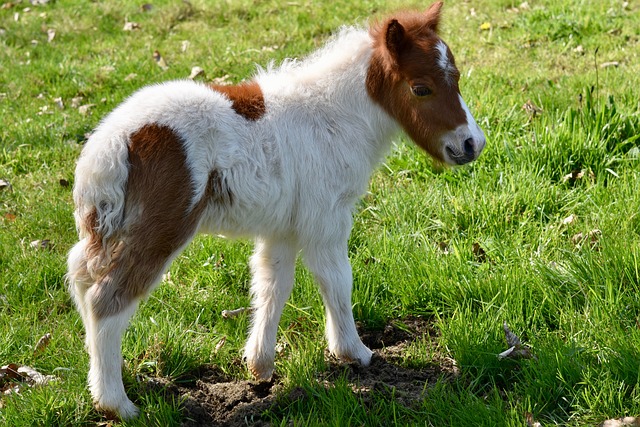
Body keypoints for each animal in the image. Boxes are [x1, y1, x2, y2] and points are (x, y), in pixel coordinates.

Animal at [66, 1, 484, 420]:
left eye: (457, 78)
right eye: (420, 88)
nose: (472, 144)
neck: (334, 116)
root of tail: (111, 146)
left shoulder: (282, 227)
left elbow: (273, 284)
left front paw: (260, 366)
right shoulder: (326, 218)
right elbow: (336, 279)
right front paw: (354, 352)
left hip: (107, 229)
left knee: (82, 278)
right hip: (160, 230)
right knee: (107, 299)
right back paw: (117, 404)